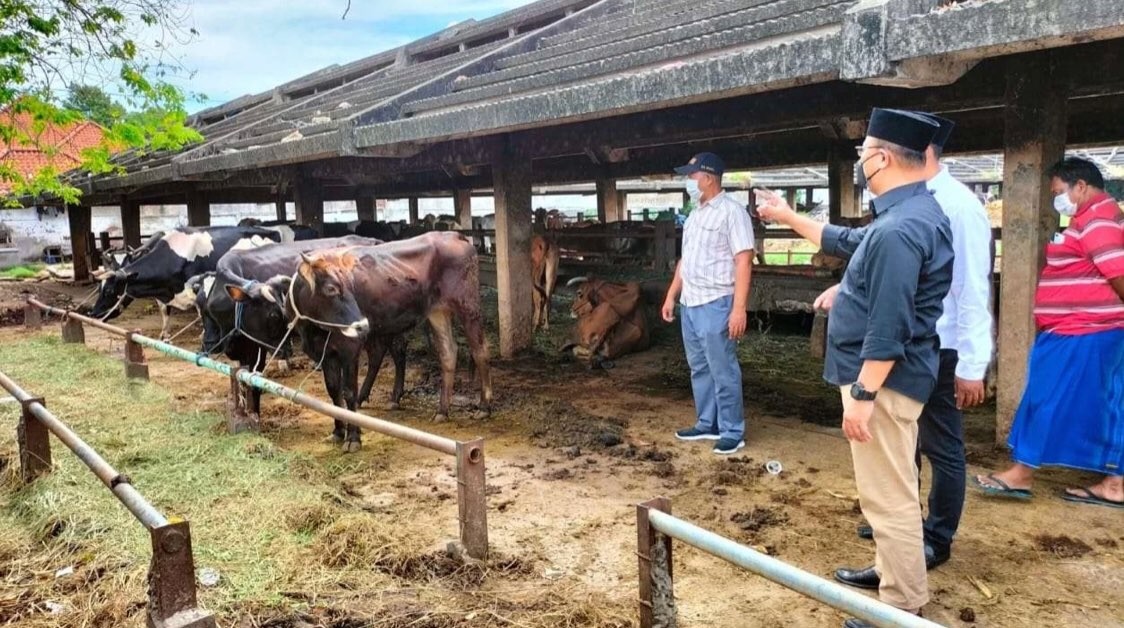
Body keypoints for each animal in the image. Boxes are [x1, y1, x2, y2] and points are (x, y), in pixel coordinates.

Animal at [90, 225, 283, 339]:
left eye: (108, 291)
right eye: (99, 289)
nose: (93, 313)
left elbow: (200, 311)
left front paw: (204, 333)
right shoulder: (163, 294)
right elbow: (164, 312)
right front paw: (164, 336)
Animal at [283, 233, 490, 449]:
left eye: (350, 285)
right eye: (331, 288)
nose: (362, 325)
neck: (313, 329)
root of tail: (453, 235)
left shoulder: (349, 348)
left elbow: (348, 391)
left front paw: (353, 437)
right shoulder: (324, 353)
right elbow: (333, 391)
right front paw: (338, 431)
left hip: (468, 305)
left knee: (480, 349)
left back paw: (484, 407)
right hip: (437, 311)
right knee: (448, 352)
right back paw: (442, 410)